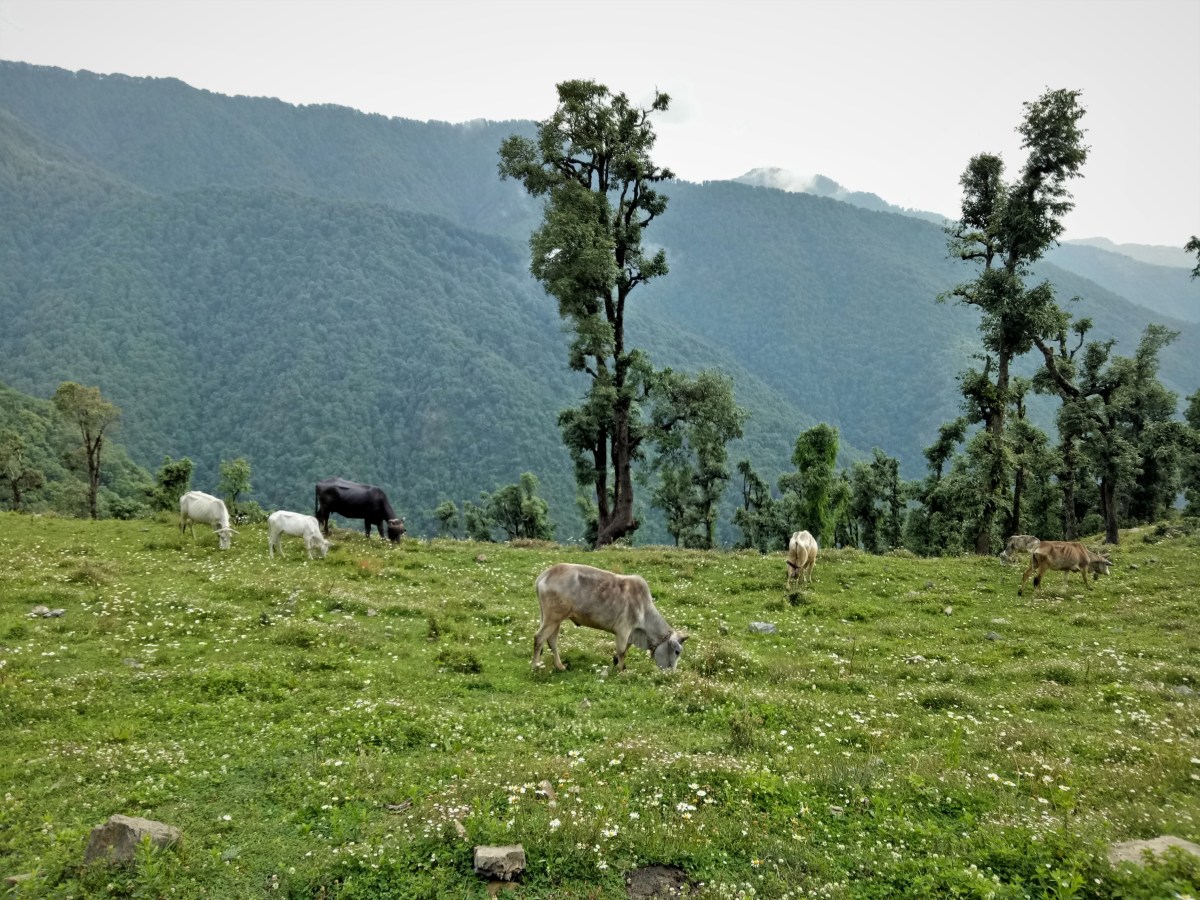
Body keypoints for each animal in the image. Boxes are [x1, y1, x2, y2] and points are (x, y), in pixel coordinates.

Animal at [532, 563, 688, 674]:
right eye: (677, 651)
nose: (672, 674)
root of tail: (546, 574)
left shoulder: (629, 633)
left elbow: (624, 650)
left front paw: (616, 662)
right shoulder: (623, 629)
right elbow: (622, 651)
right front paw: (621, 670)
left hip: (552, 619)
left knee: (552, 641)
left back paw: (560, 666)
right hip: (553, 618)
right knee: (539, 638)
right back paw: (535, 667)